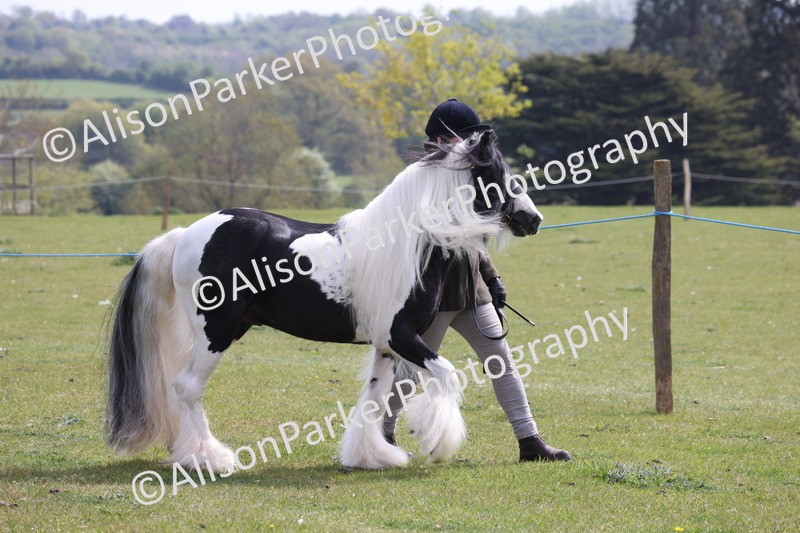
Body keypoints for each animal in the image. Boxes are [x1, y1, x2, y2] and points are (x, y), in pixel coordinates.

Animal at [106, 129, 543, 473]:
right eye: (499, 174)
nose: (534, 220)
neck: (408, 245)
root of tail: (185, 234)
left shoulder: (386, 345)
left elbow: (374, 399)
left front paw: (372, 457)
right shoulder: (401, 335)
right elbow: (448, 375)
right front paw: (437, 445)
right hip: (215, 332)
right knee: (186, 388)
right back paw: (208, 459)